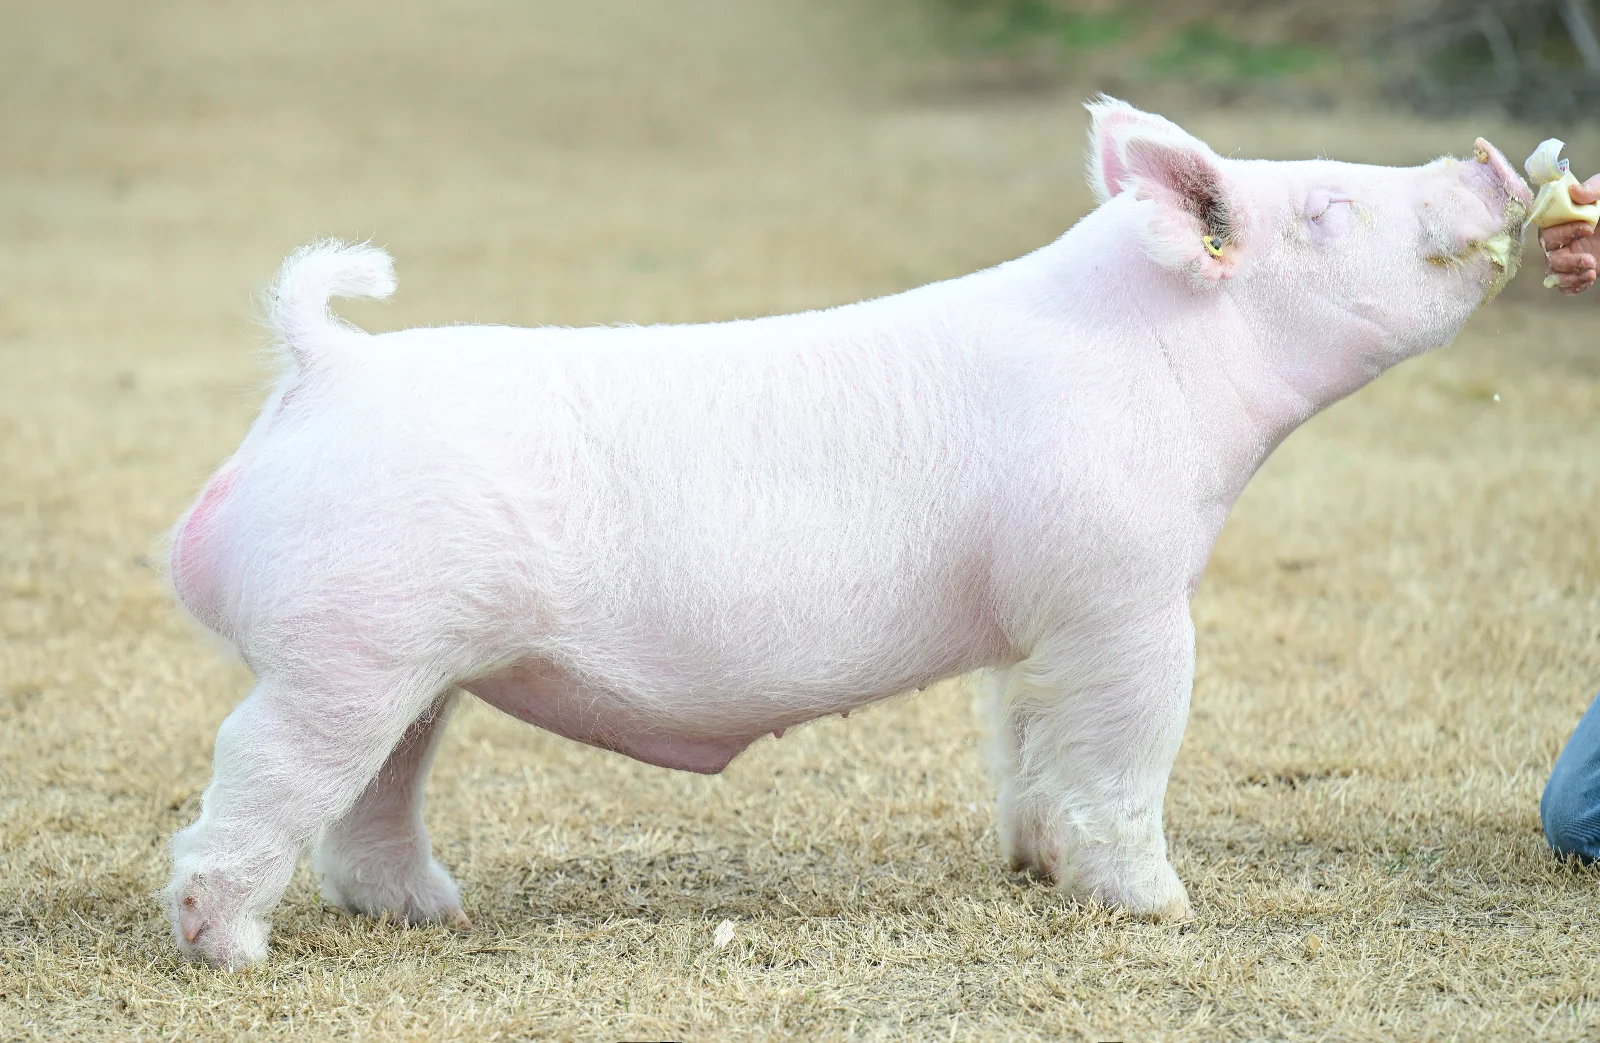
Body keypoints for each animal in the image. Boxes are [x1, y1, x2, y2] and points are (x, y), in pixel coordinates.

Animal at [162, 98, 1530, 968]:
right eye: (1326, 205)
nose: (1491, 161)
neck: (1178, 368)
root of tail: (327, 365)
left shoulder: (1034, 626)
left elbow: (1028, 744)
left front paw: (1034, 866)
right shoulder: (1122, 592)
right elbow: (1124, 756)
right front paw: (1161, 909)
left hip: (408, 666)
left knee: (374, 798)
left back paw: (428, 915)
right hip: (347, 652)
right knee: (258, 769)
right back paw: (229, 949)